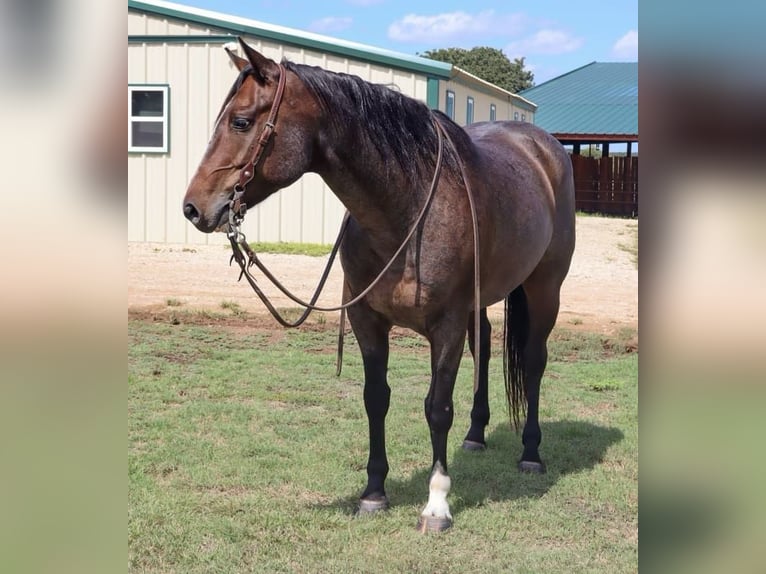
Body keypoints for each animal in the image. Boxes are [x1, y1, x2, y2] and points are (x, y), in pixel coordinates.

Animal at [183, 38, 575, 532]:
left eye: (241, 121)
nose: (193, 207)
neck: (406, 210)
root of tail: (544, 146)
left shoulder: (446, 326)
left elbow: (437, 408)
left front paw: (437, 504)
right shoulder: (366, 320)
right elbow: (375, 399)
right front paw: (373, 492)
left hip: (545, 289)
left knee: (535, 361)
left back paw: (530, 453)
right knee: (484, 350)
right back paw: (476, 434)